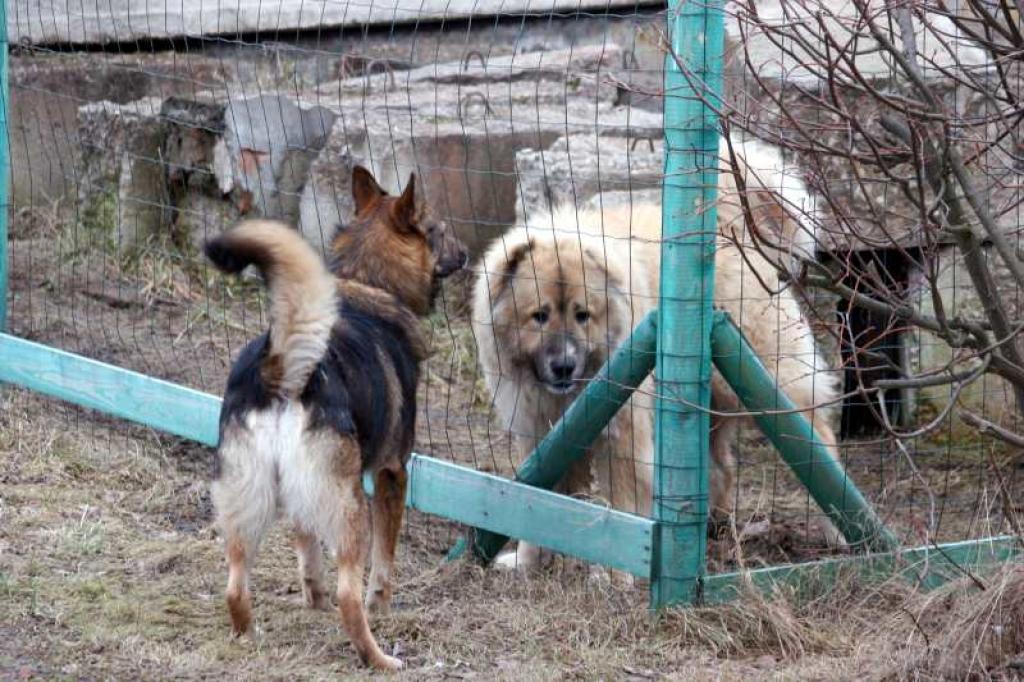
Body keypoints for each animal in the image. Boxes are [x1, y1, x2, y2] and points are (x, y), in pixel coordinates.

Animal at [206, 165, 468, 667]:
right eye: (440, 230)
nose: (466, 253)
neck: (366, 280)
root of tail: (281, 368)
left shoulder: (301, 498)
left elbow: (307, 551)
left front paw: (313, 598)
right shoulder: (392, 474)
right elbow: (385, 562)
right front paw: (382, 604)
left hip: (247, 502)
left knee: (233, 584)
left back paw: (248, 637)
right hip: (350, 509)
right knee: (351, 597)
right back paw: (379, 658)